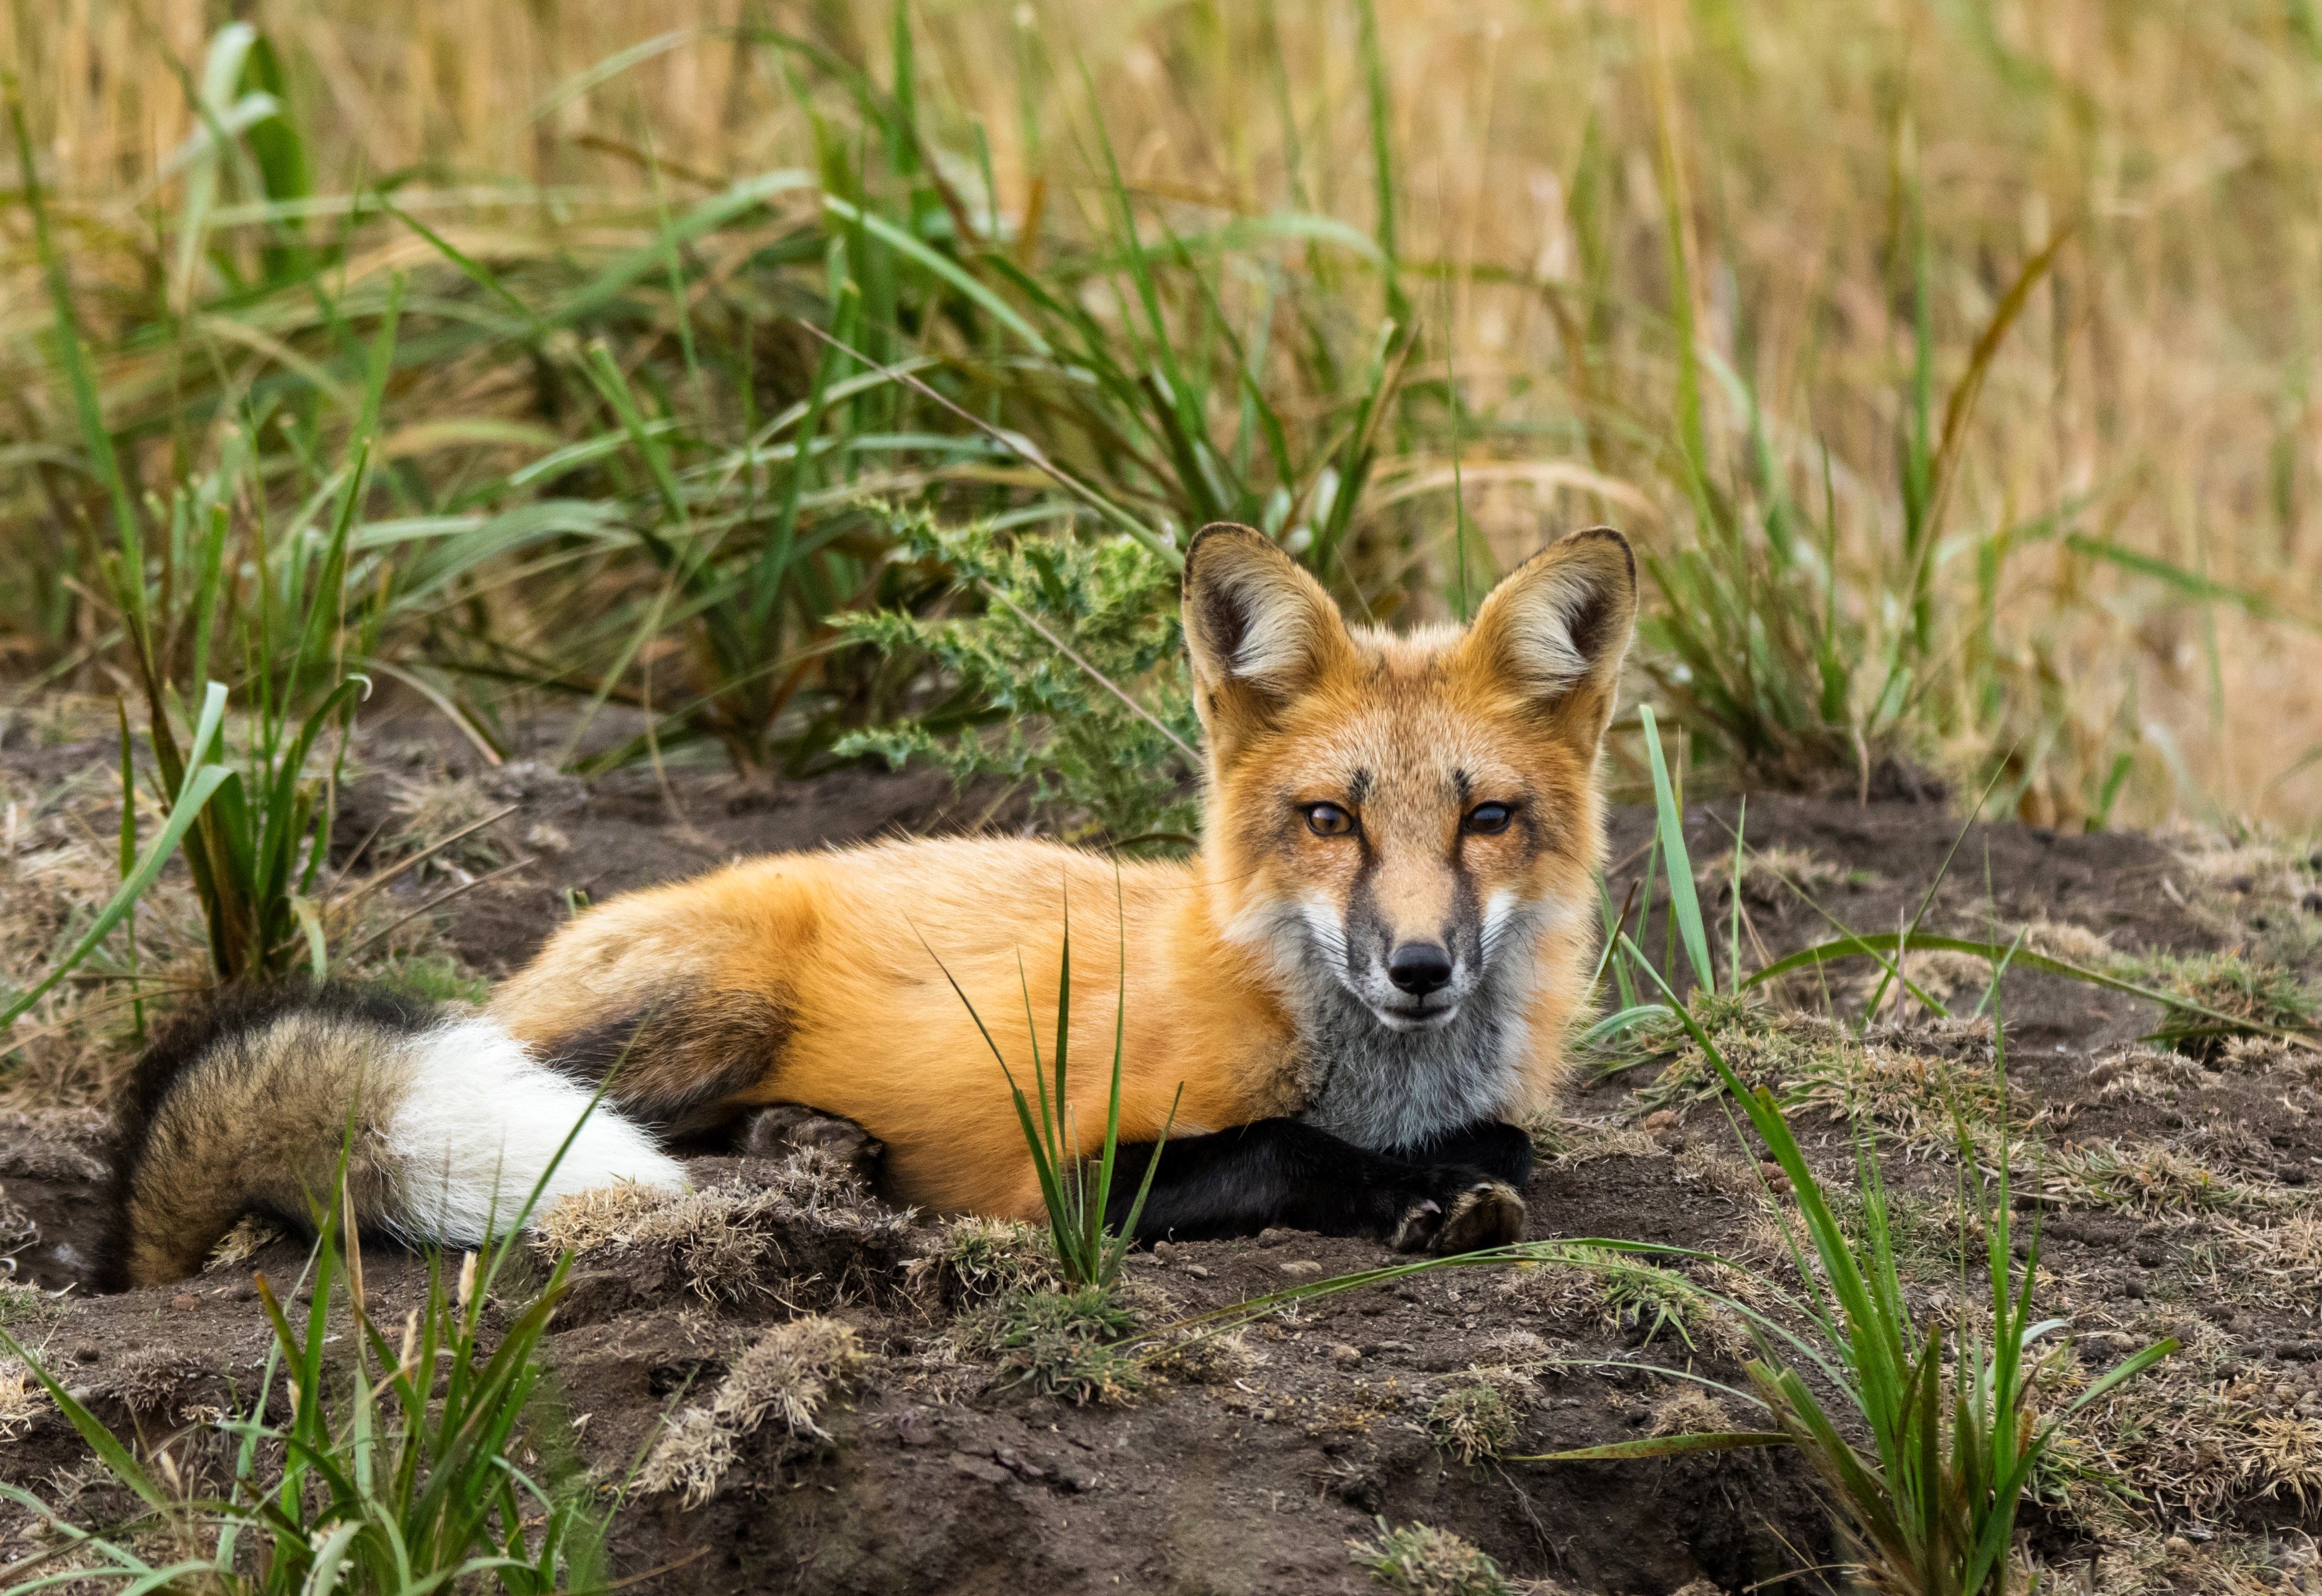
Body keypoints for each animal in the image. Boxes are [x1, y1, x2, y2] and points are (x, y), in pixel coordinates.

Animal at [102, 523, 1639, 1289]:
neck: (1372, 1073)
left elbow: (1505, 1138)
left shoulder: (1485, 1099)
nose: (1419, 967)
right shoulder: (1063, 1174)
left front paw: (1456, 1179)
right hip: (704, 1007)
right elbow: (1286, 1149)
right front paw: (1410, 1195)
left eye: (1485, 820)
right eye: (1330, 821)